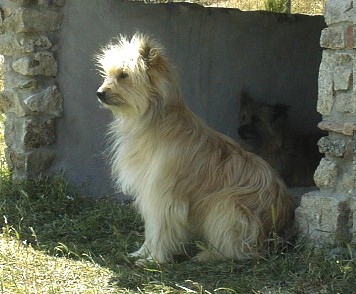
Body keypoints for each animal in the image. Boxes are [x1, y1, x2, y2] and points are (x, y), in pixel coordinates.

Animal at [96, 33, 296, 262]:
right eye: (108, 74)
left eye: (123, 75)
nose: (99, 93)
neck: (154, 119)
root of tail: (280, 229)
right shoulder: (151, 193)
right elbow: (152, 229)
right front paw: (143, 252)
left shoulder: (163, 196)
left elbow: (160, 228)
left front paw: (155, 259)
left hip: (227, 204)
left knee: (241, 248)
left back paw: (209, 254)